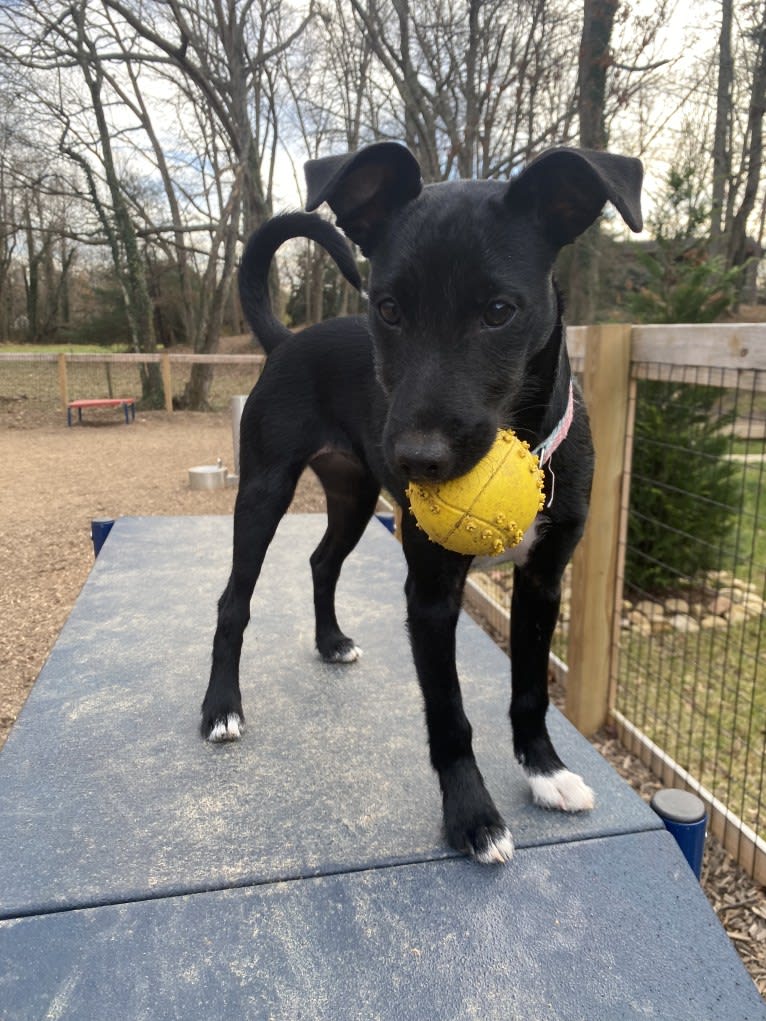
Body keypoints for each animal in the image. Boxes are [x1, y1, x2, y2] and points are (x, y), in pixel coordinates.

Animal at [201, 141, 645, 861]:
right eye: (387, 308)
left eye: (499, 311)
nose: (418, 459)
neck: (523, 438)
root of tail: (288, 338)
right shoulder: (431, 595)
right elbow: (449, 715)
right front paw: (473, 817)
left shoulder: (543, 583)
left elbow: (530, 690)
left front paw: (545, 770)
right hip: (264, 491)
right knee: (233, 601)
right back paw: (221, 707)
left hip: (354, 495)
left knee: (322, 562)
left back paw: (331, 642)